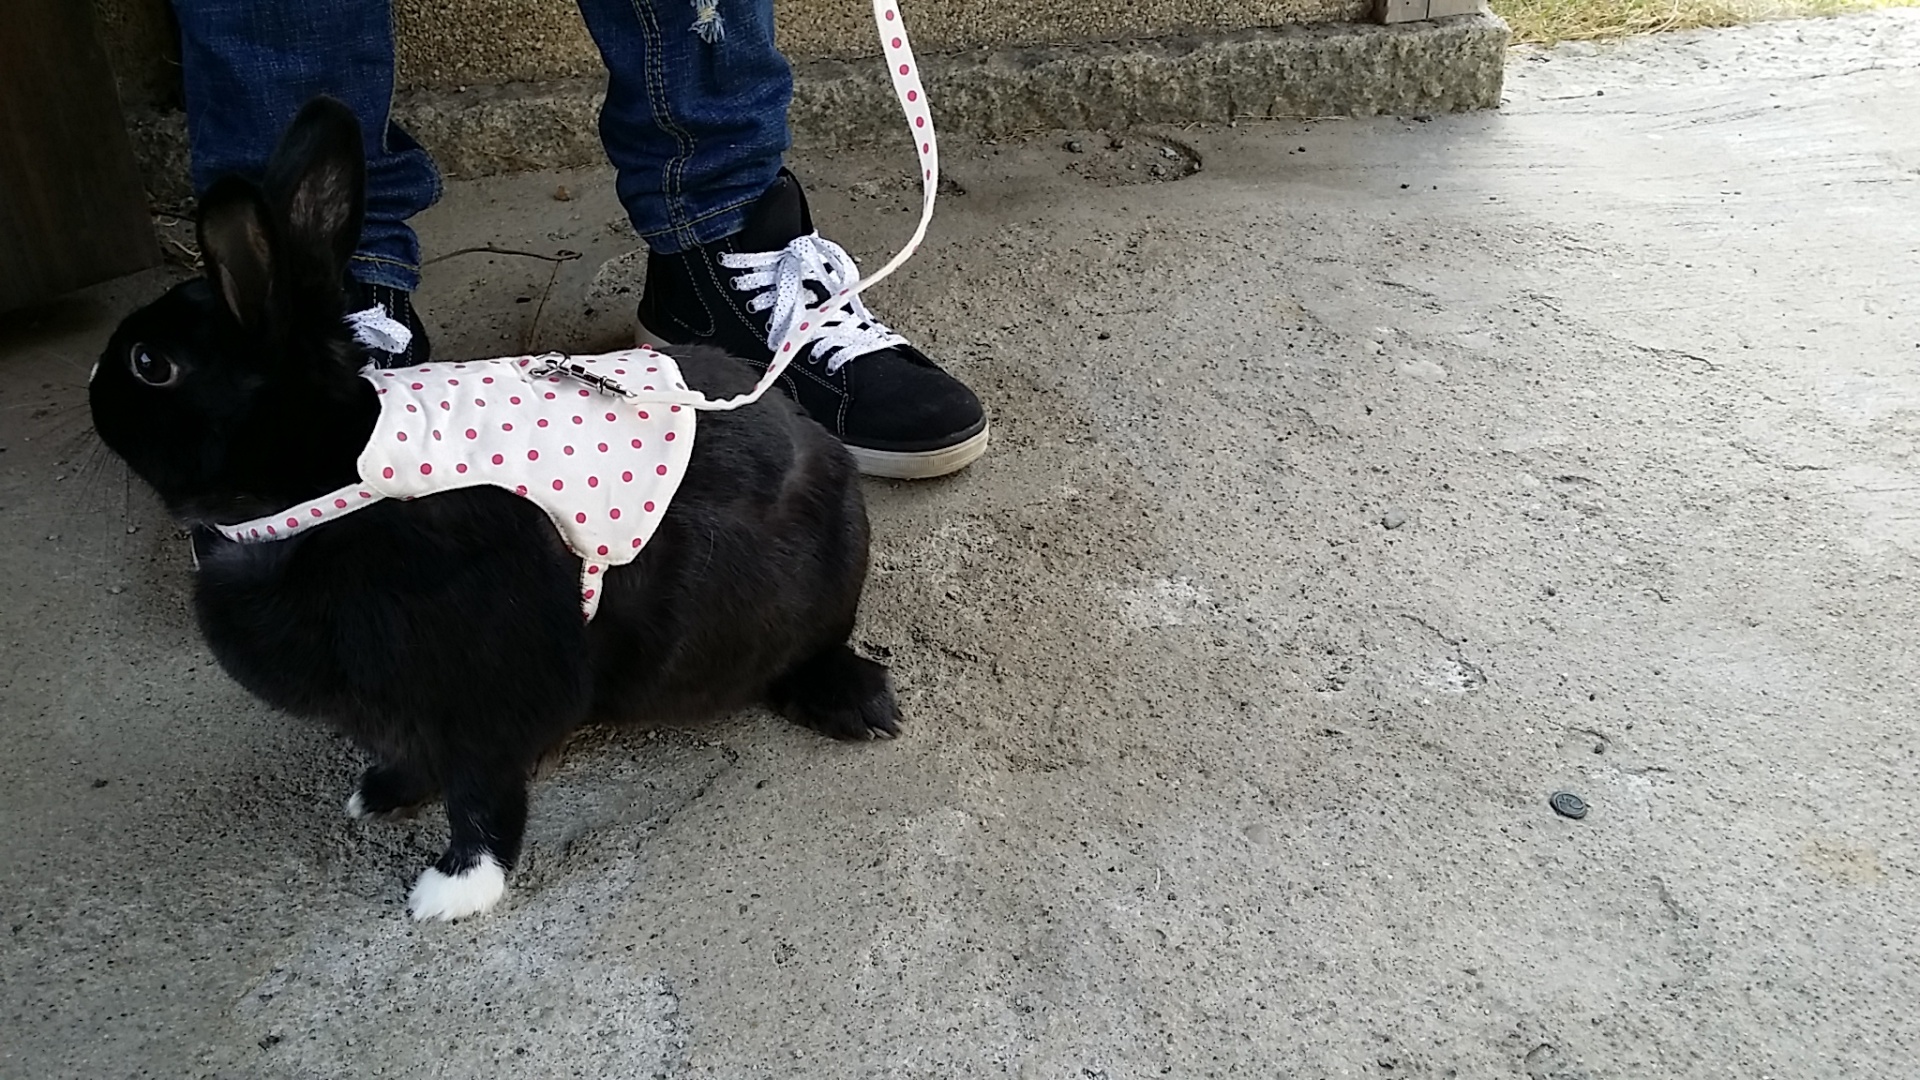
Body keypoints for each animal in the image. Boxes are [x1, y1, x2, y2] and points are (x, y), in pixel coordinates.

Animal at [88, 96, 902, 922]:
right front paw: (379, 796)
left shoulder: (490, 696)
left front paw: (453, 891)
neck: (320, 489)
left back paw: (858, 707)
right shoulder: (408, 714)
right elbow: (417, 760)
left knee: (815, 653)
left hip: (818, 591)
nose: (91, 387)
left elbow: (483, 798)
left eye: (149, 365)